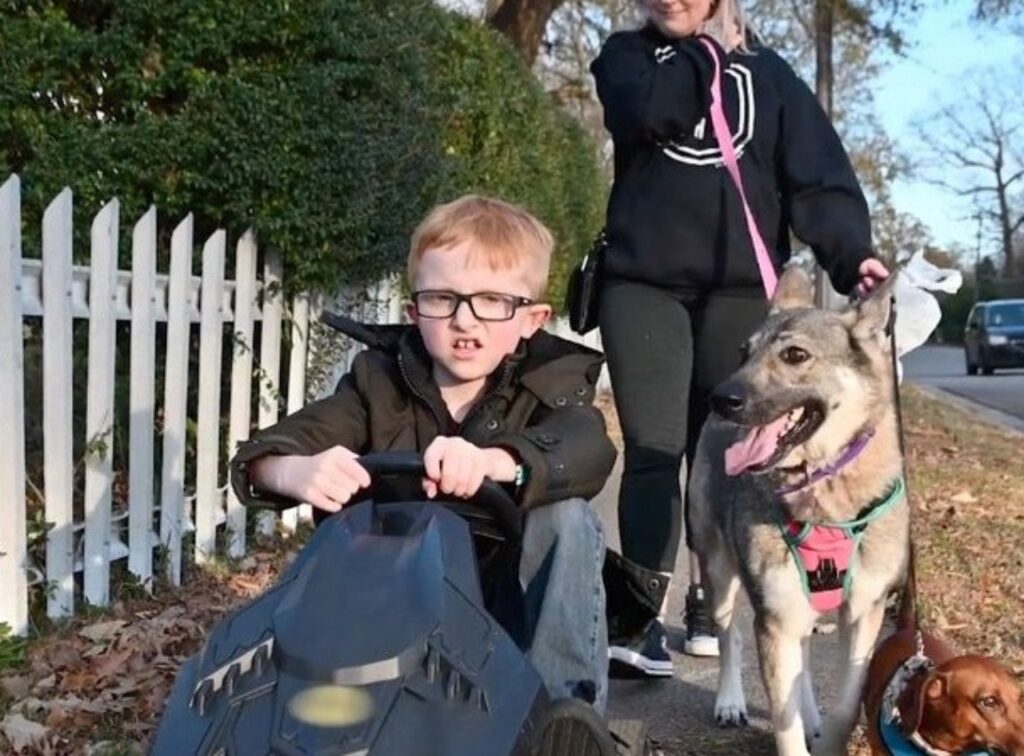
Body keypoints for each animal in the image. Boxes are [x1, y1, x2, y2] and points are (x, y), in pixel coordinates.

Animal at [688, 266, 913, 753]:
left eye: (795, 354)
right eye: (744, 352)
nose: (721, 398)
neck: (824, 488)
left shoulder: (863, 614)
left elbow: (847, 704)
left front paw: (826, 736)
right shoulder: (776, 618)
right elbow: (783, 720)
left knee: (804, 659)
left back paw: (810, 714)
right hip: (718, 571)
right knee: (729, 635)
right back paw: (730, 701)